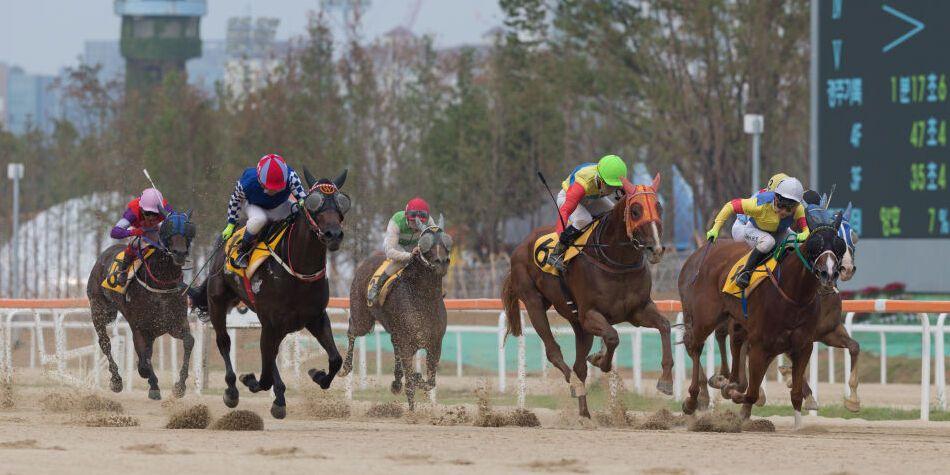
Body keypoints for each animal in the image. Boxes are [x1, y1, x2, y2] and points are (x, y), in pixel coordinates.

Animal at [86, 210, 198, 400]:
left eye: (188, 229)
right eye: (168, 228)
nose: (180, 253)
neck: (161, 284)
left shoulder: (174, 324)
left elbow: (189, 341)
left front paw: (180, 386)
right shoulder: (139, 327)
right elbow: (144, 362)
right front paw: (150, 381)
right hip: (100, 309)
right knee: (105, 342)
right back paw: (116, 380)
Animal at [190, 168, 350, 420]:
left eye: (341, 203)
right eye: (314, 203)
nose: (333, 234)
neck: (298, 271)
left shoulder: (315, 317)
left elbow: (335, 359)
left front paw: (317, 374)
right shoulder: (272, 321)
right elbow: (263, 377)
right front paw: (249, 380)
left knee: (271, 354)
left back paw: (280, 397)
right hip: (217, 301)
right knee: (224, 341)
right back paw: (233, 390)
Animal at [506, 174, 668, 416]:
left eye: (659, 207)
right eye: (635, 211)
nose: (655, 249)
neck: (616, 260)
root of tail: (521, 245)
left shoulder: (638, 311)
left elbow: (664, 325)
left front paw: (666, 380)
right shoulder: (590, 314)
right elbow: (612, 336)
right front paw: (600, 360)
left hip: (578, 324)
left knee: (579, 365)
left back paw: (584, 413)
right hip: (534, 302)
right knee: (554, 352)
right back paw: (574, 384)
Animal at [676, 218, 848, 430]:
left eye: (840, 245)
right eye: (815, 245)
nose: (828, 274)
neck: (793, 294)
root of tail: (697, 254)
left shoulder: (802, 346)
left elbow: (795, 393)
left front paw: (798, 424)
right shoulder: (760, 345)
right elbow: (752, 393)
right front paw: (733, 394)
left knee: (730, 342)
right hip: (704, 317)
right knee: (695, 346)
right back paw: (693, 400)